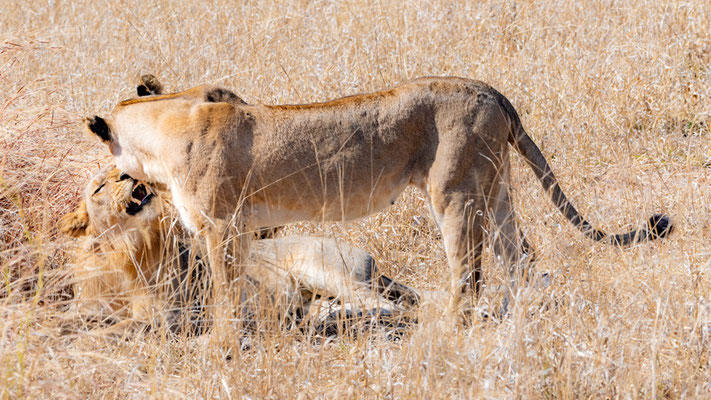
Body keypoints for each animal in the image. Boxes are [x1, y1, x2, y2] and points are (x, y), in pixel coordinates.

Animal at [61, 164, 422, 336]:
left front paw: (86, 341)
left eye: (118, 169)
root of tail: (370, 259)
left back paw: (329, 317)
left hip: (323, 268)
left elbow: (117, 330)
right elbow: (69, 319)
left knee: (385, 305)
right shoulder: (87, 306)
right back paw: (316, 313)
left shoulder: (174, 317)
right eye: (99, 187)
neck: (123, 250)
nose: (127, 174)